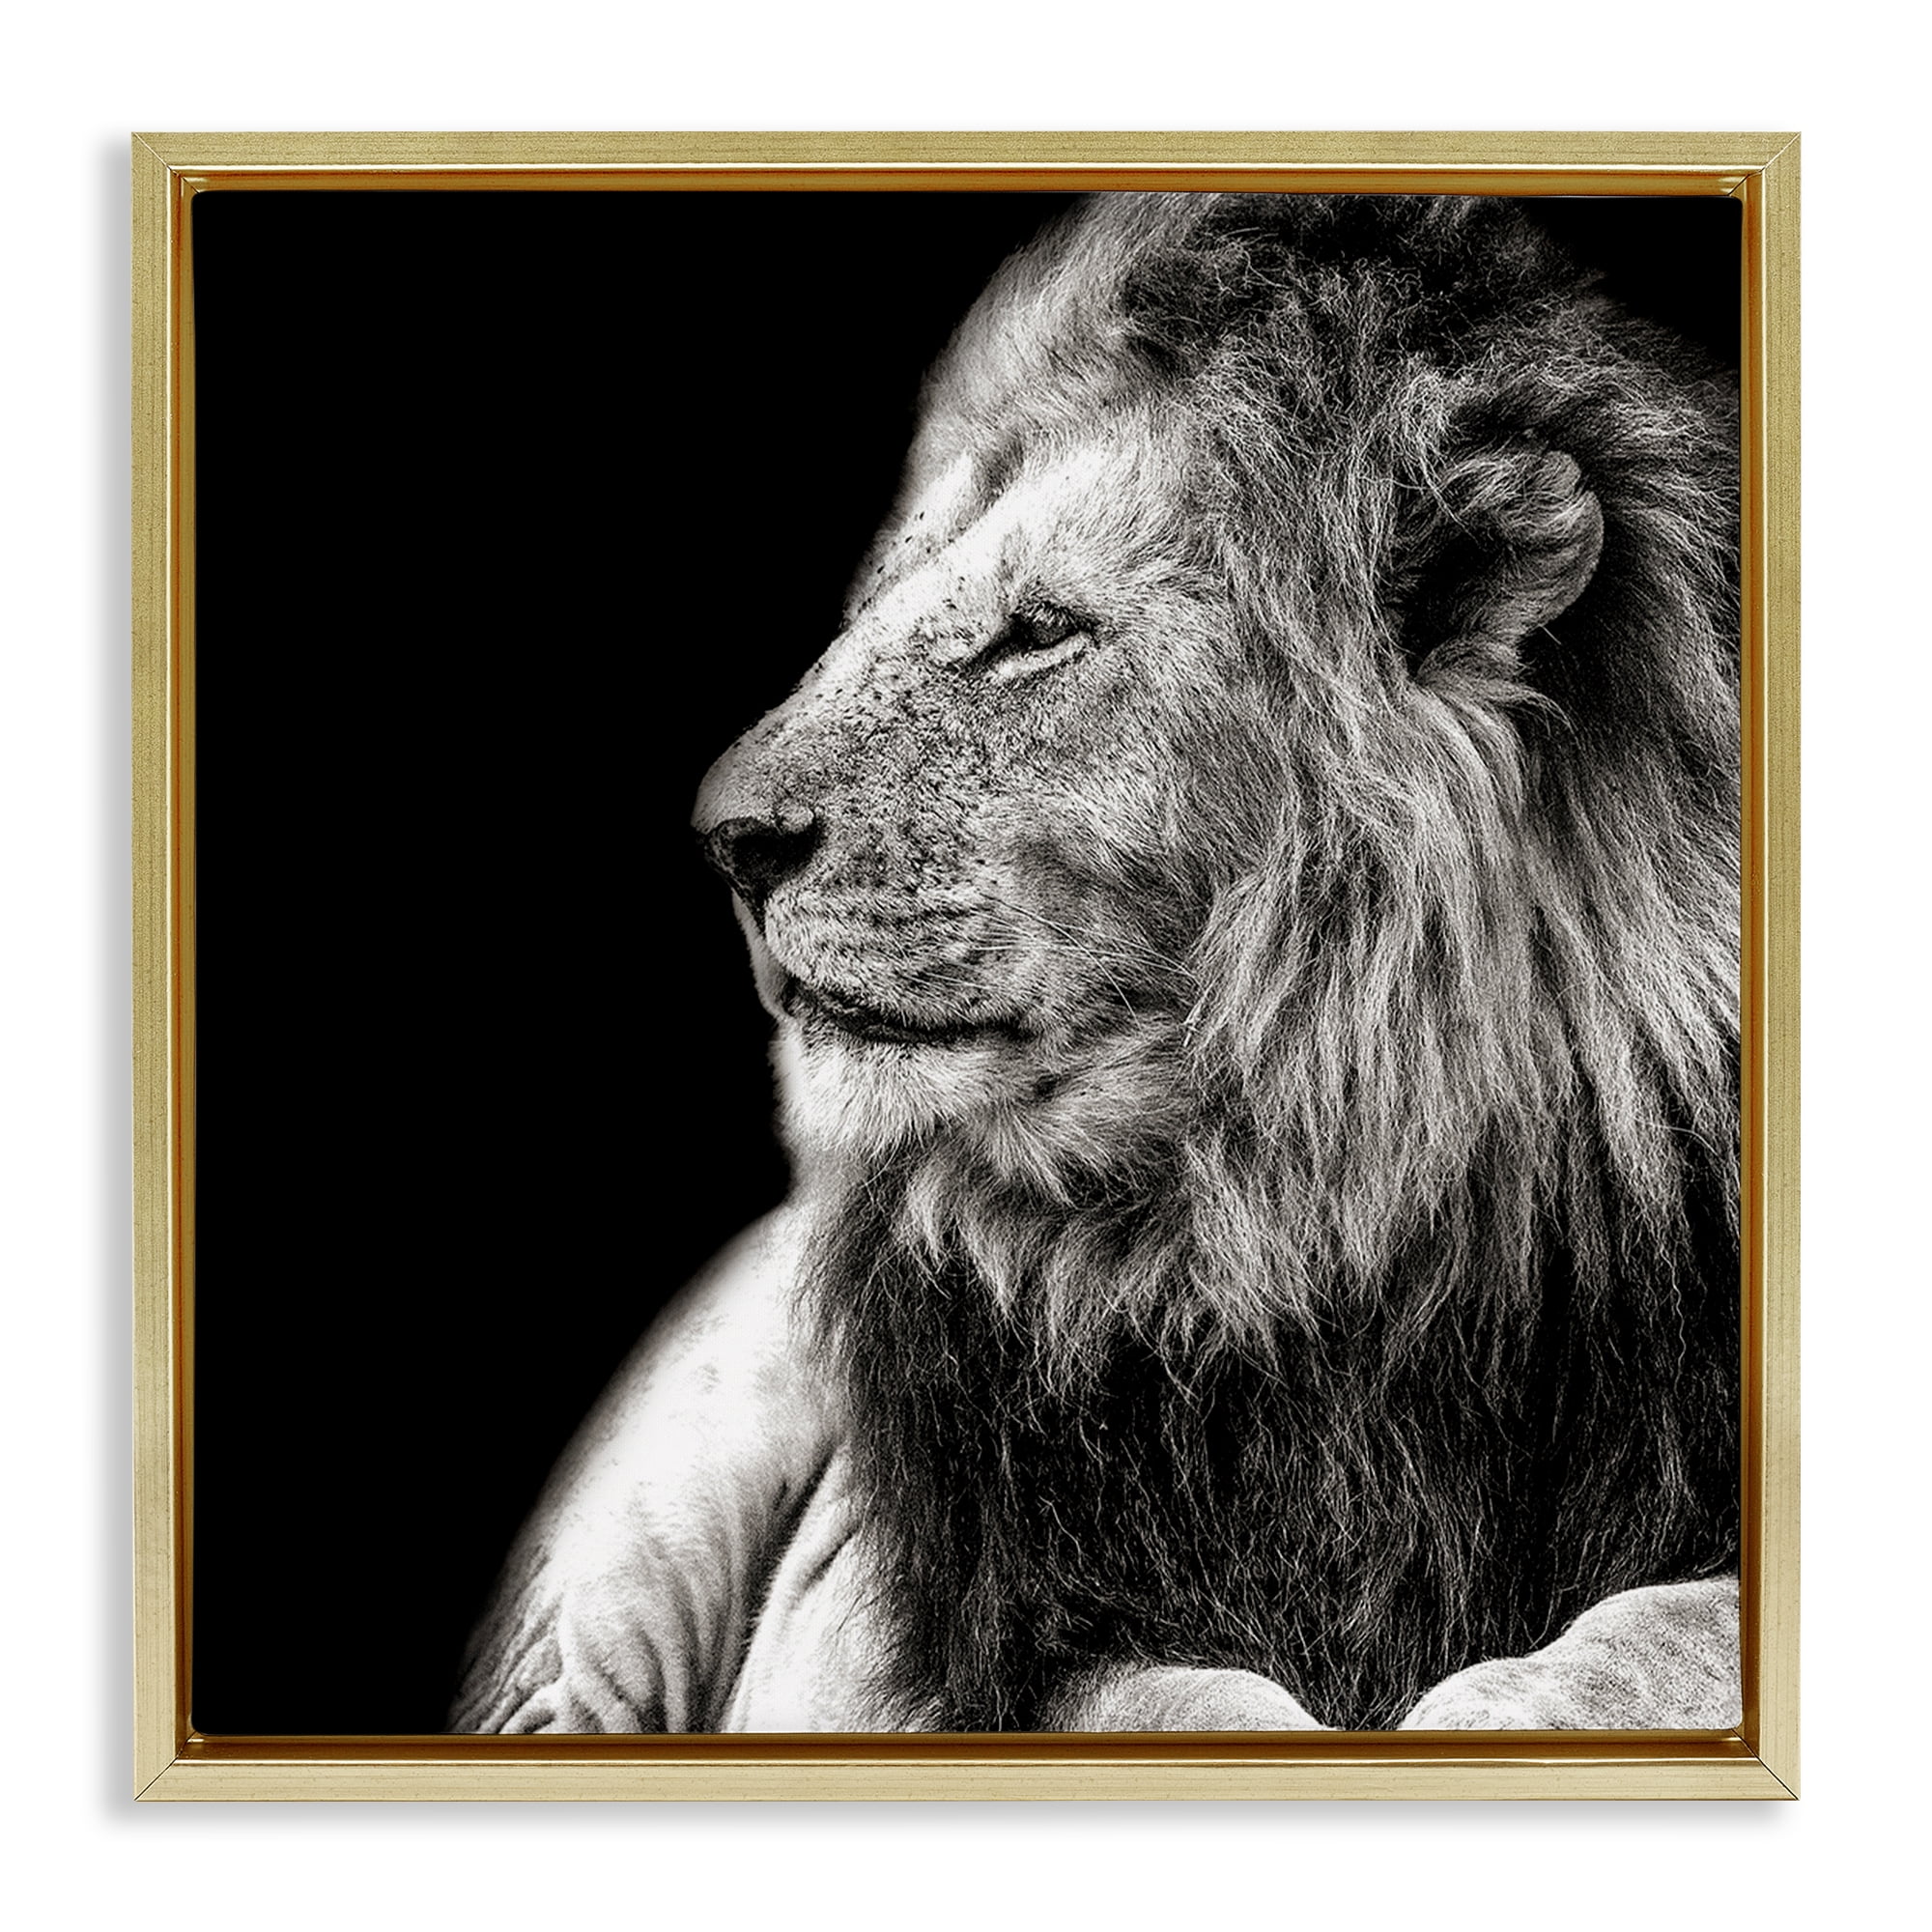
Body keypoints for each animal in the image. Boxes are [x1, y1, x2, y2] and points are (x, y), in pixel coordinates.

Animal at [452, 193, 1742, 1734]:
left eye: (1038, 633)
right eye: (876, 609)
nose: (726, 841)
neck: (1308, 1226)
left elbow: (1661, 1628)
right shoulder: (982, 1636)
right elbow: (1183, 1705)